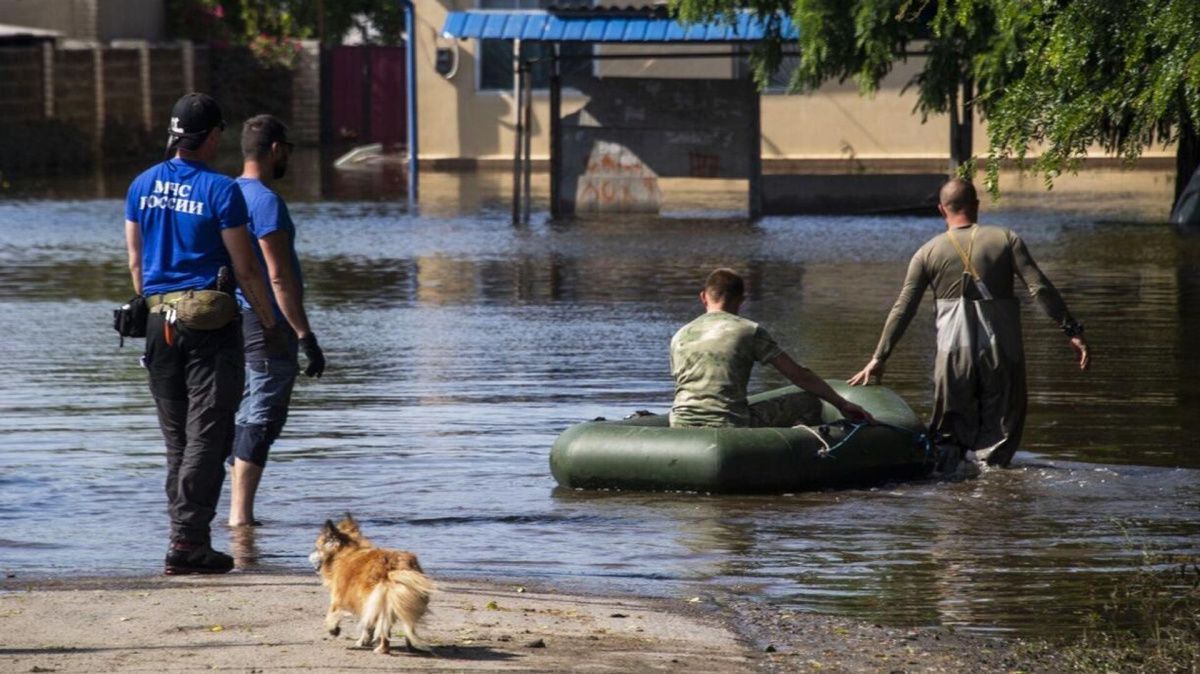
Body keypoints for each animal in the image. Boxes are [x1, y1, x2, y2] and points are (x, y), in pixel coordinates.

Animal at [309, 513, 436, 652]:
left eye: (317, 548)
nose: (309, 556)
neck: (346, 551)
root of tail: (395, 566)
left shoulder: (339, 597)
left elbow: (332, 613)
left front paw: (334, 630)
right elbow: (368, 624)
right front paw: (364, 640)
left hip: (378, 599)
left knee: (384, 628)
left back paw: (382, 649)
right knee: (408, 623)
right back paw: (409, 645)